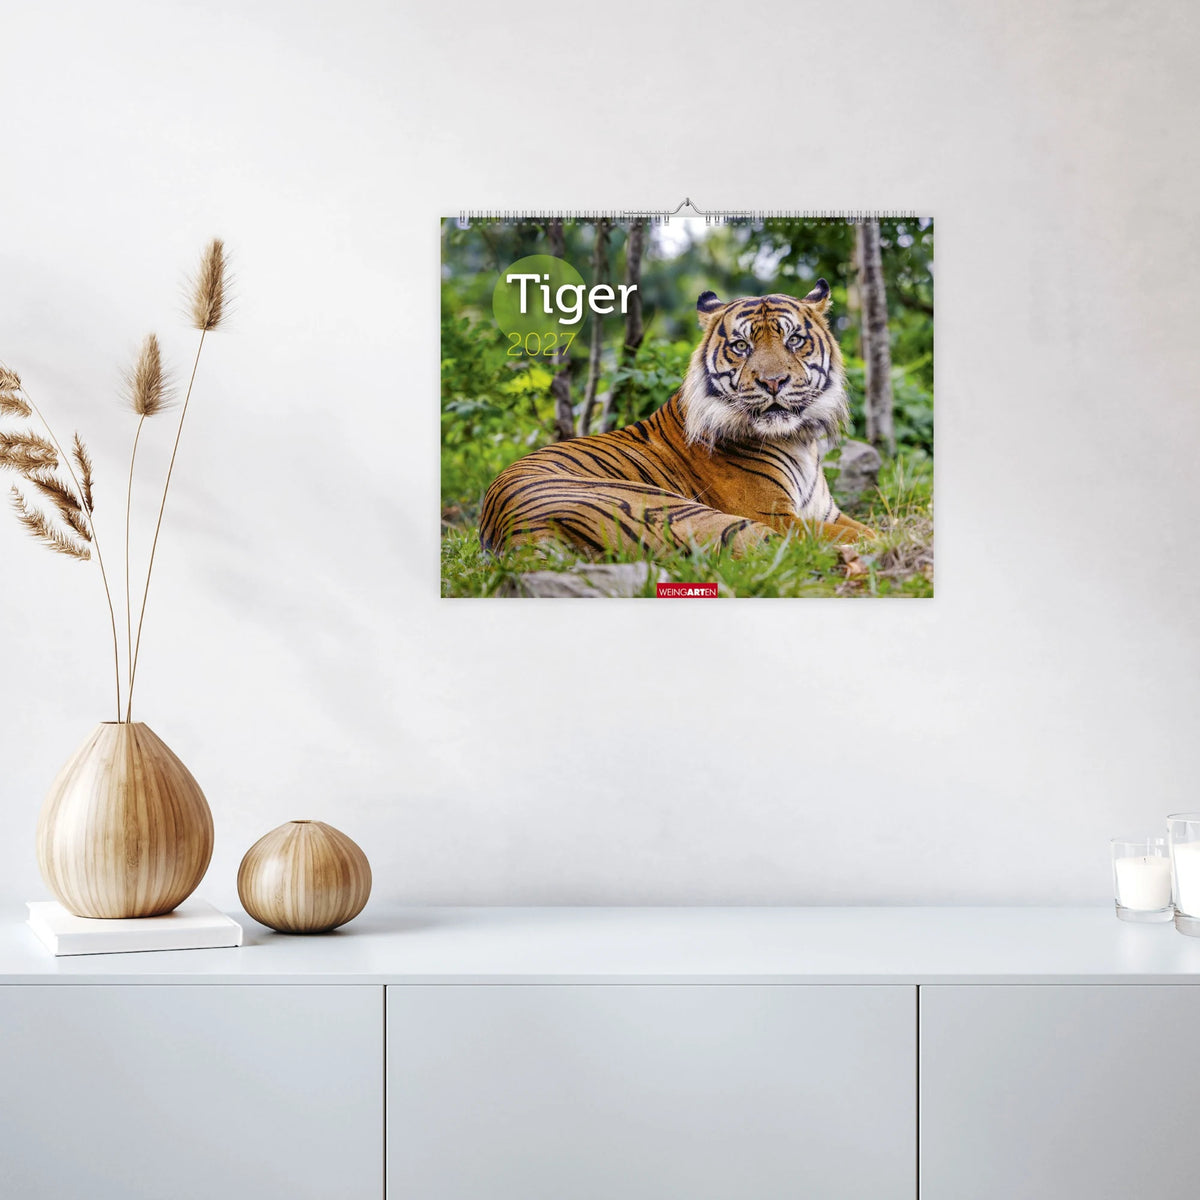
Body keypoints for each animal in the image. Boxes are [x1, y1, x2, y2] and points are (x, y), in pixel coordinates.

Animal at [478, 280, 873, 557]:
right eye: (741, 346)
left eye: (793, 340)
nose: (773, 381)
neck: (798, 439)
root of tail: (514, 532)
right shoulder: (777, 515)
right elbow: (869, 532)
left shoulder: (827, 513)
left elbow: (863, 526)